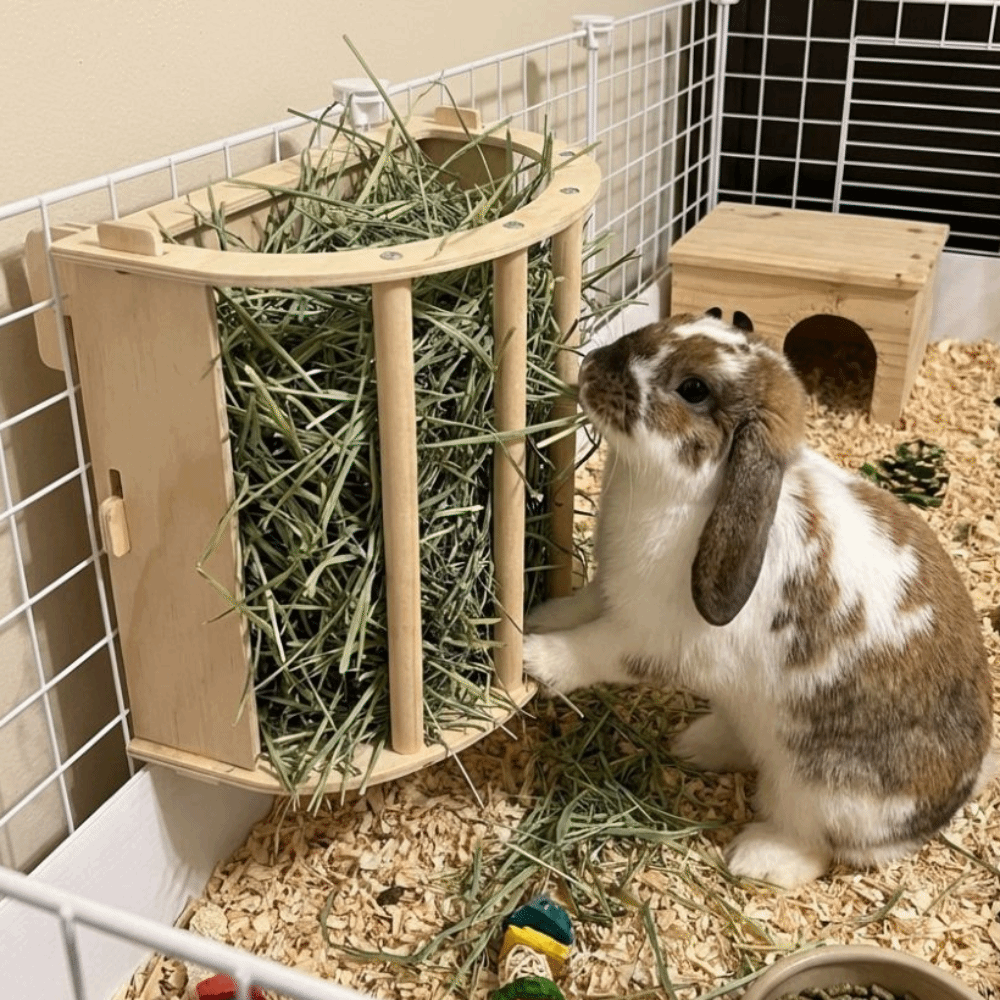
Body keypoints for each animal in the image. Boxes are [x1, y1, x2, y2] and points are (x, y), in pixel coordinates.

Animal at [523, 307, 995, 889]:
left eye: (694, 389)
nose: (591, 366)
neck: (705, 495)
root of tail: (949, 801)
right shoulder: (611, 594)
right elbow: (580, 607)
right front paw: (535, 617)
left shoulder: (645, 638)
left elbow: (590, 651)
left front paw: (534, 658)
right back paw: (697, 743)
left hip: (819, 790)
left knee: (816, 846)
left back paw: (757, 857)